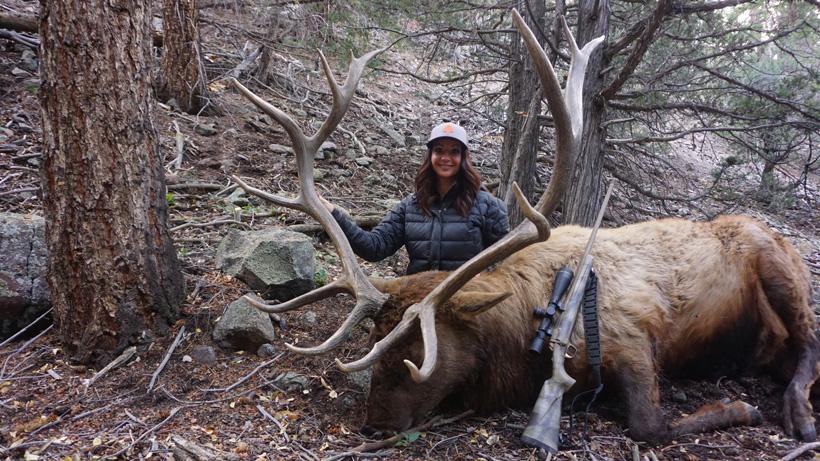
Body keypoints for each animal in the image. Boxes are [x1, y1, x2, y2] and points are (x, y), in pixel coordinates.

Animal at [227, 9, 819, 445]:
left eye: (416, 357)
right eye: (375, 341)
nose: (374, 425)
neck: (516, 338)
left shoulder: (634, 339)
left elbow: (649, 426)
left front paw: (740, 410)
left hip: (778, 262)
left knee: (809, 341)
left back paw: (796, 411)